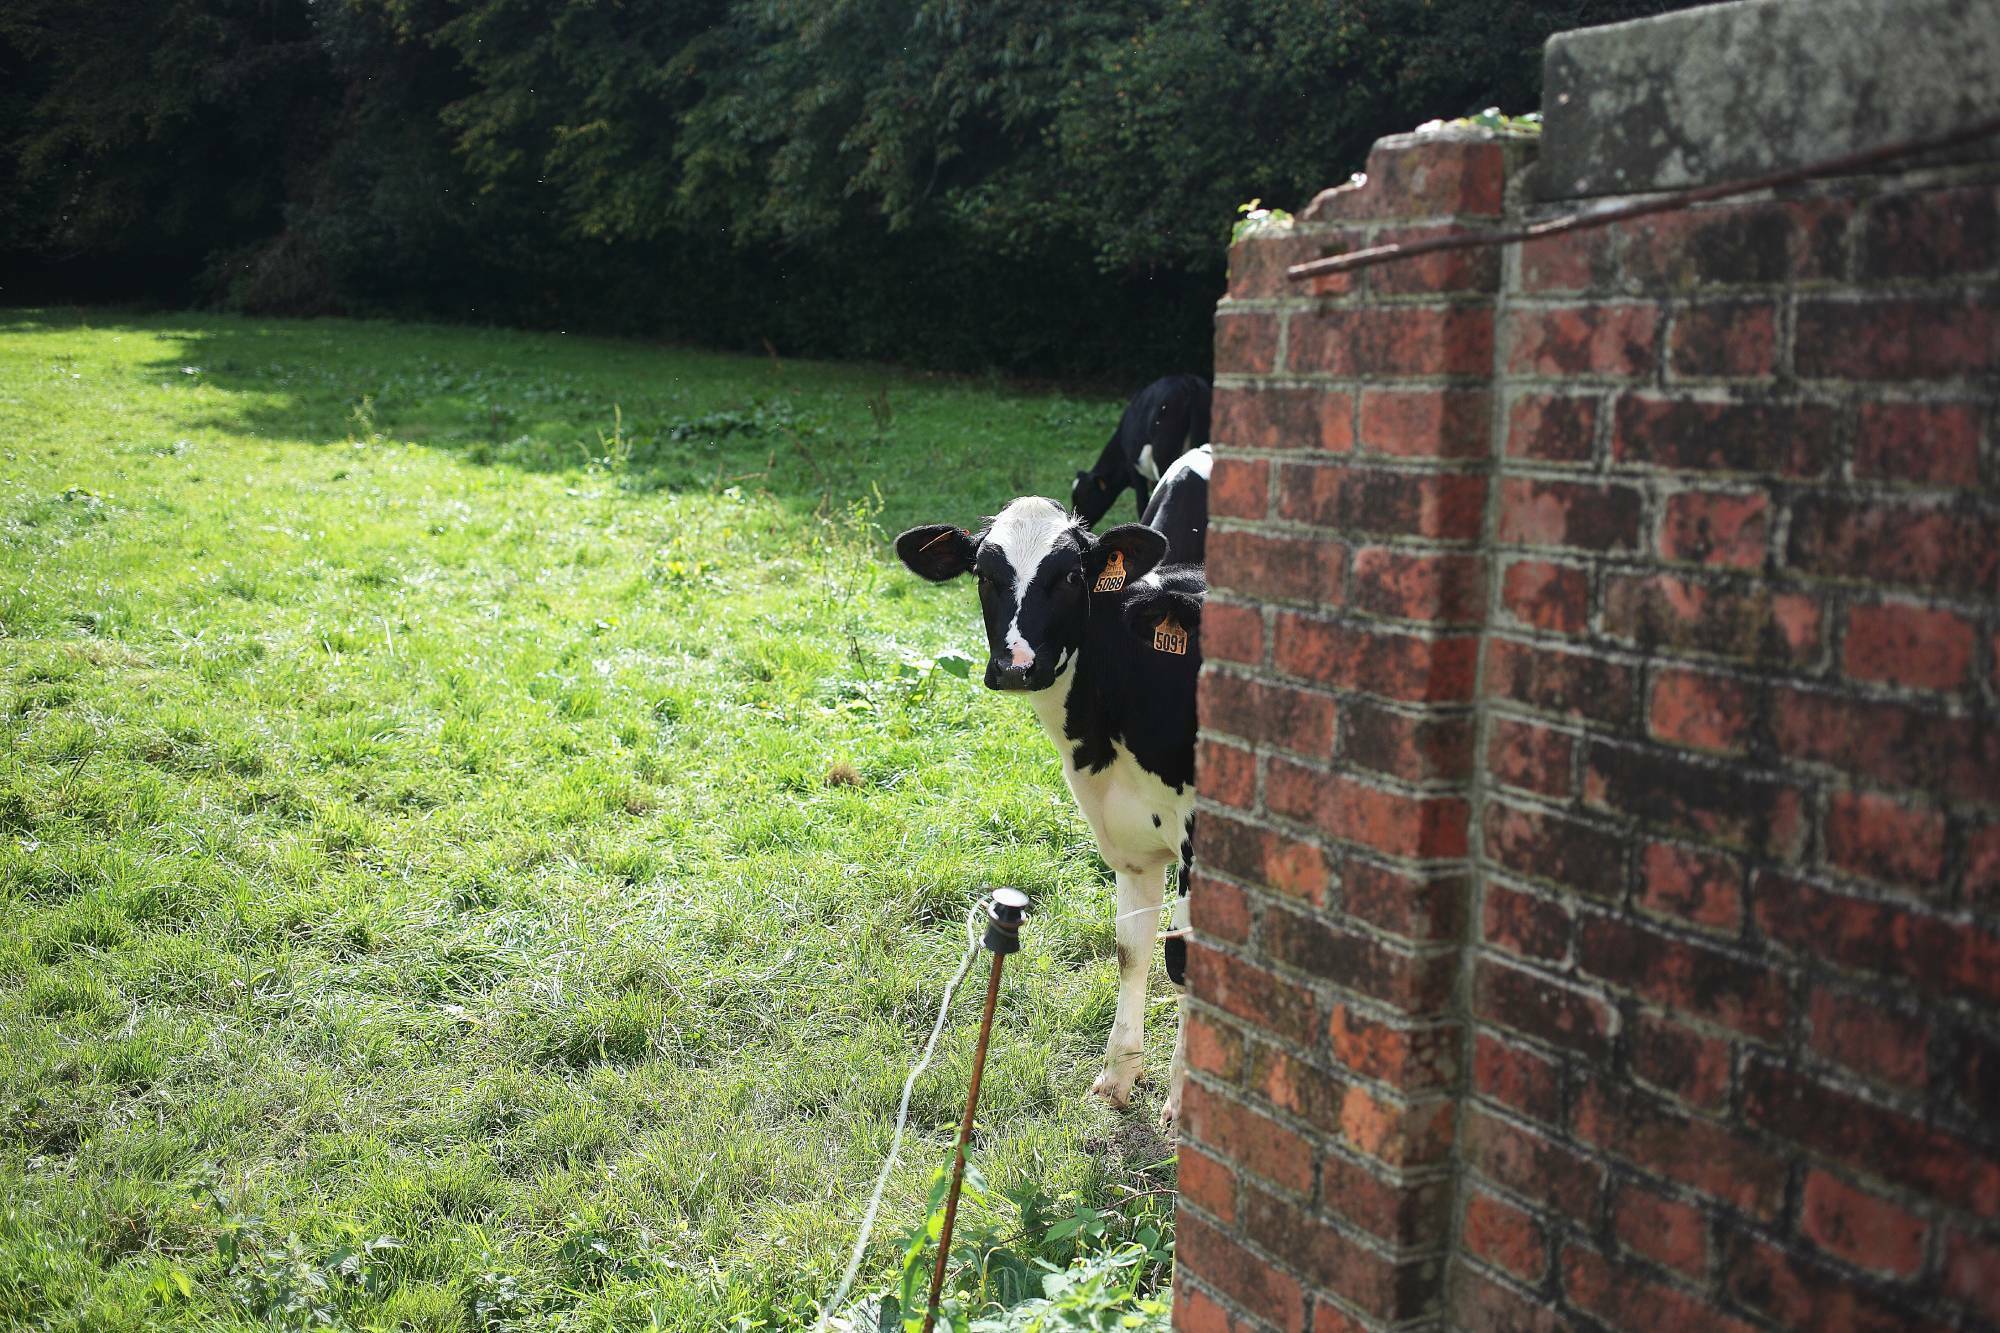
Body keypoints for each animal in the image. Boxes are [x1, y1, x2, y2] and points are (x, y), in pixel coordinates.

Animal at [896, 458, 1209, 1125]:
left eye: (1070, 574)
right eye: (984, 574)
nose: (1017, 664)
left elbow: (1187, 963)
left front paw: (1184, 1102)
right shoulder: (1129, 839)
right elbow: (1131, 951)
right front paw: (1116, 1079)